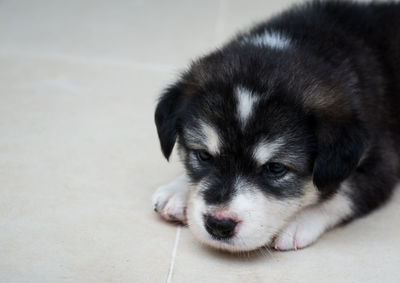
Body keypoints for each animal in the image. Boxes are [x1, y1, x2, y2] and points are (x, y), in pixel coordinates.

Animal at [152, 0, 398, 253]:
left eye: (275, 168)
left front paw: (298, 223)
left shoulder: (383, 164)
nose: (219, 225)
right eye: (203, 155)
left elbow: (343, 193)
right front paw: (178, 190)